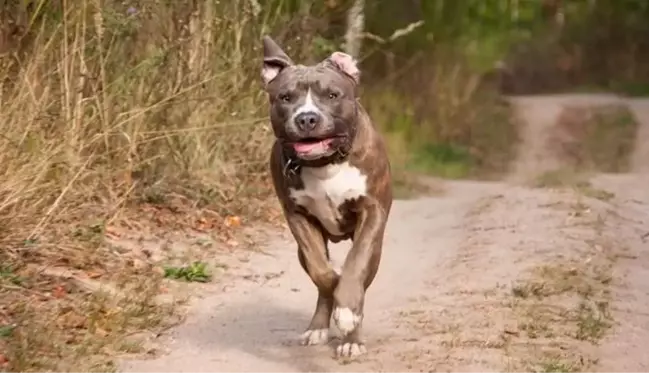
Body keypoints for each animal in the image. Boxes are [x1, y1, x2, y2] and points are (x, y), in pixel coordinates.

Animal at [260, 35, 392, 358]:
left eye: (332, 95)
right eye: (285, 97)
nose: (307, 118)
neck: (326, 164)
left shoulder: (371, 212)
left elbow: (355, 267)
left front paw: (348, 313)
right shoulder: (298, 217)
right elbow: (322, 272)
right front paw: (334, 287)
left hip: (376, 248)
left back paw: (351, 338)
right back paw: (319, 327)